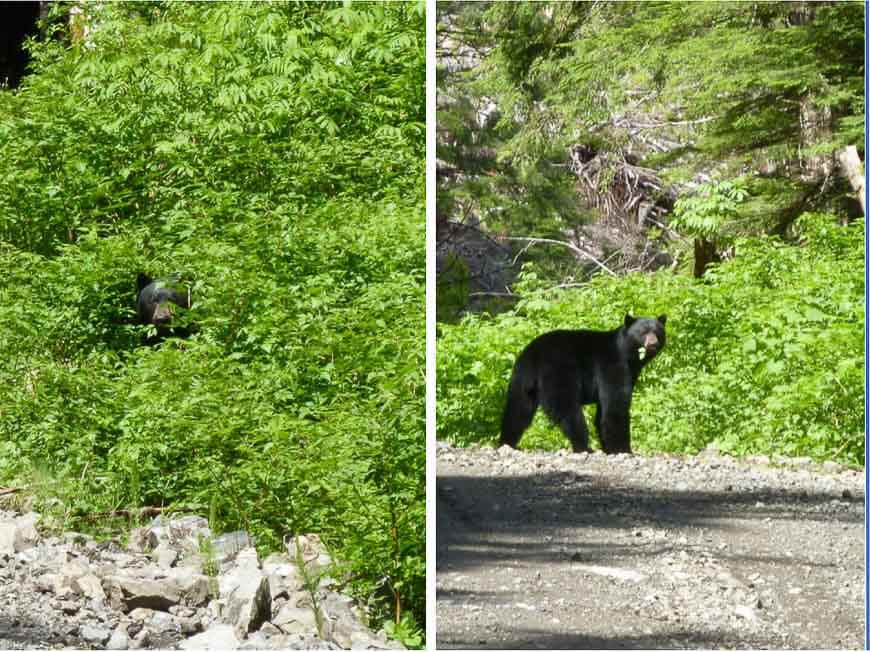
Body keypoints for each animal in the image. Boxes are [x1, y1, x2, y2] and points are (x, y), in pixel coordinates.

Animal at [500, 316, 672, 454]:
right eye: (643, 332)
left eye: (658, 331)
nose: (653, 342)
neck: (628, 357)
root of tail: (534, 355)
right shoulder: (612, 365)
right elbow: (615, 406)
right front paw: (623, 449)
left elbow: (602, 412)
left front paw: (609, 448)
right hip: (559, 372)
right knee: (568, 410)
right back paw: (584, 446)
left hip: (522, 380)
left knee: (518, 409)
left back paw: (507, 443)